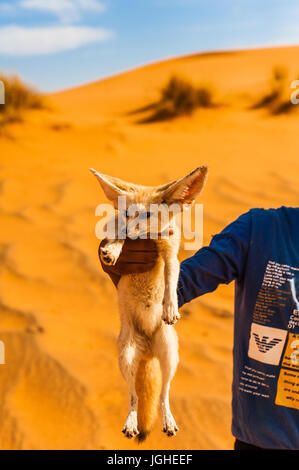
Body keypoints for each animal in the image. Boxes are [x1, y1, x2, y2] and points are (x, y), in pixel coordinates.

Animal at [91, 166, 209, 440]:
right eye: (127, 213)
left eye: (147, 215)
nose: (132, 231)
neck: (148, 239)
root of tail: (146, 350)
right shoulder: (118, 226)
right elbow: (117, 235)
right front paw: (112, 251)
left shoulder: (171, 254)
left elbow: (170, 278)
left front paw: (170, 307)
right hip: (126, 357)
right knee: (133, 397)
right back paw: (131, 423)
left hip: (170, 355)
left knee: (164, 393)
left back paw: (168, 421)